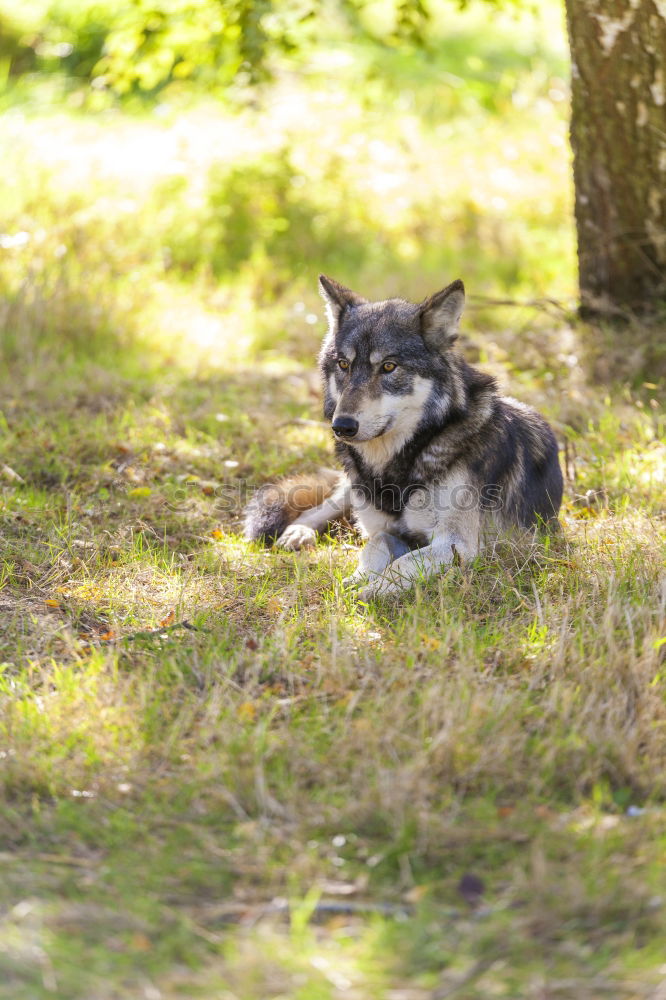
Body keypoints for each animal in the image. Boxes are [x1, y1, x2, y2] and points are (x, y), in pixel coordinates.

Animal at [244, 278, 560, 596]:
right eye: (344, 365)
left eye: (388, 366)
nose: (342, 426)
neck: (402, 463)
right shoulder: (385, 528)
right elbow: (376, 543)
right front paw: (357, 579)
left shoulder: (457, 544)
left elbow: (402, 563)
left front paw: (367, 591)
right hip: (354, 486)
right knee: (327, 504)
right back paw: (298, 532)